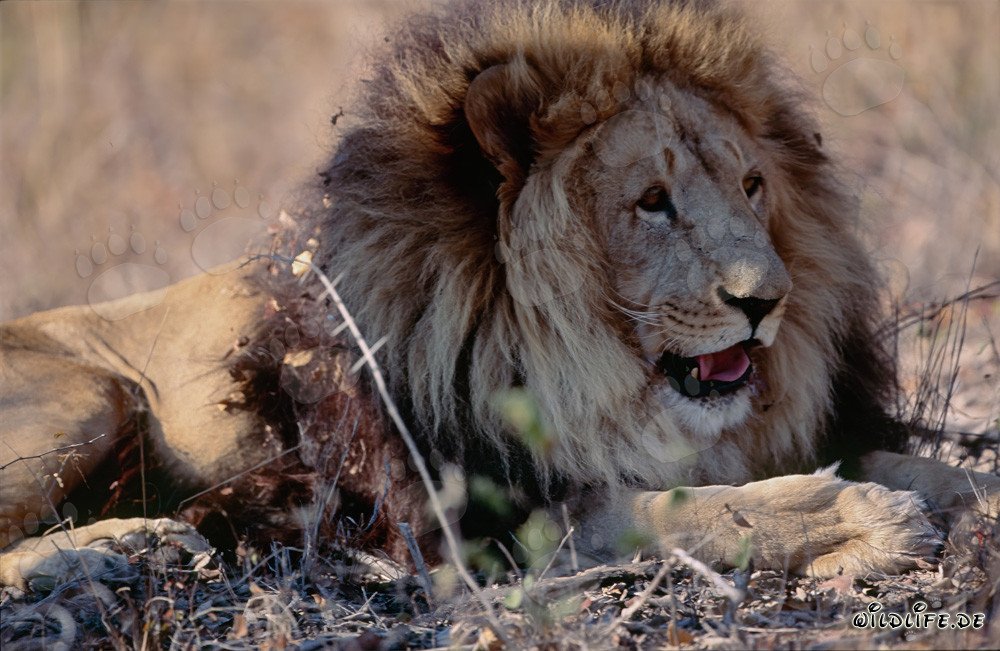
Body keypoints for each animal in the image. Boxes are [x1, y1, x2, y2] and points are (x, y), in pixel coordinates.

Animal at [2, 0, 998, 588]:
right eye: (652, 201)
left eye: (753, 186)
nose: (770, 301)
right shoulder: (498, 519)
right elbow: (692, 508)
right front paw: (864, 518)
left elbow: (926, 467)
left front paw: (963, 496)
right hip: (90, 394)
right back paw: (121, 547)